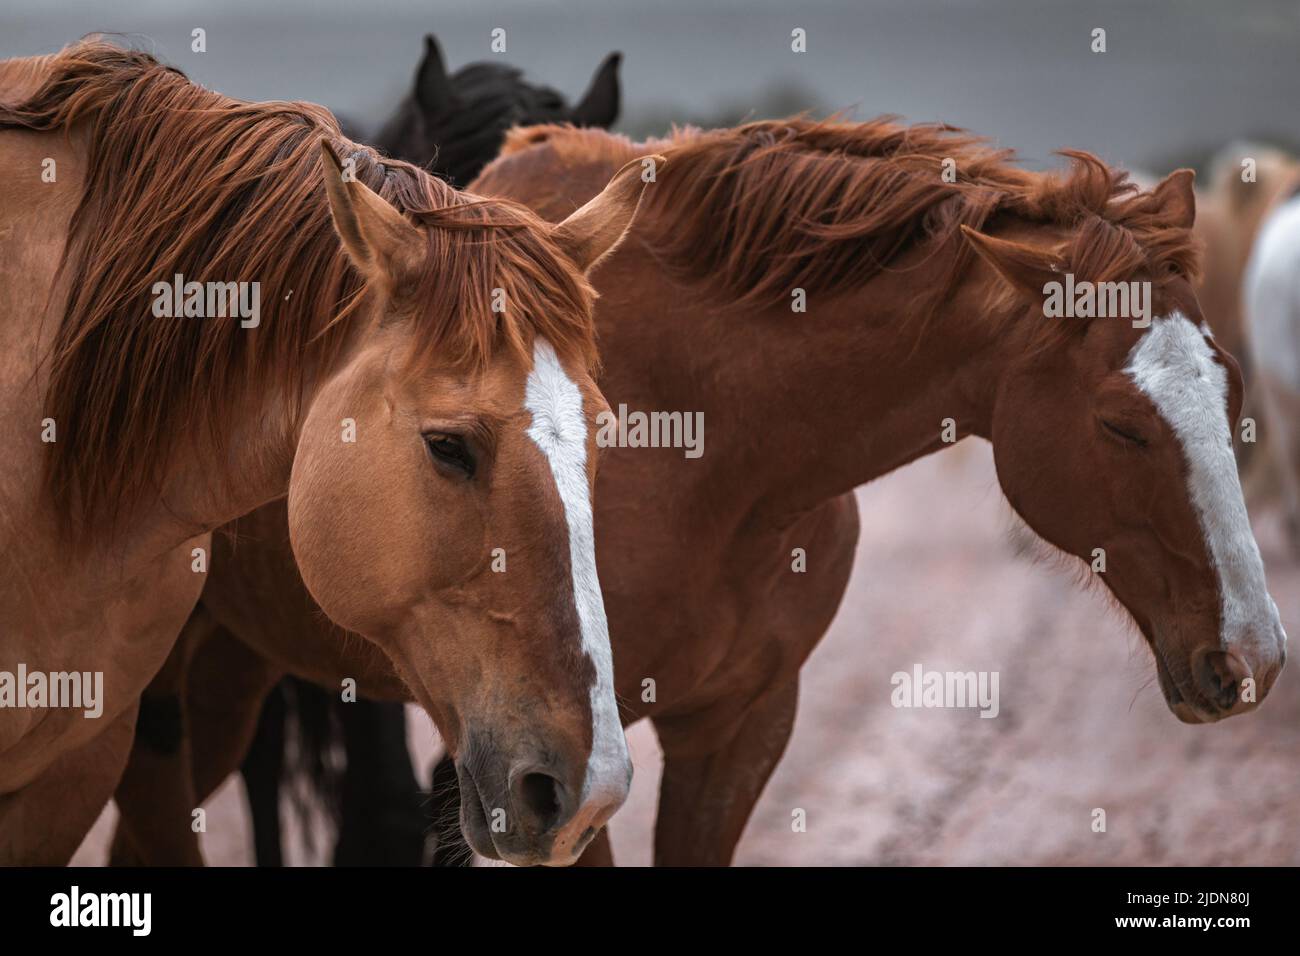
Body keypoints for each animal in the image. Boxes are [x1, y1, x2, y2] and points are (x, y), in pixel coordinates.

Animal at [114, 116, 1287, 867]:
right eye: (1120, 423)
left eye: (1228, 383)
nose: (1255, 655)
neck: (718, 446)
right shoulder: (562, 768)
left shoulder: (740, 725)